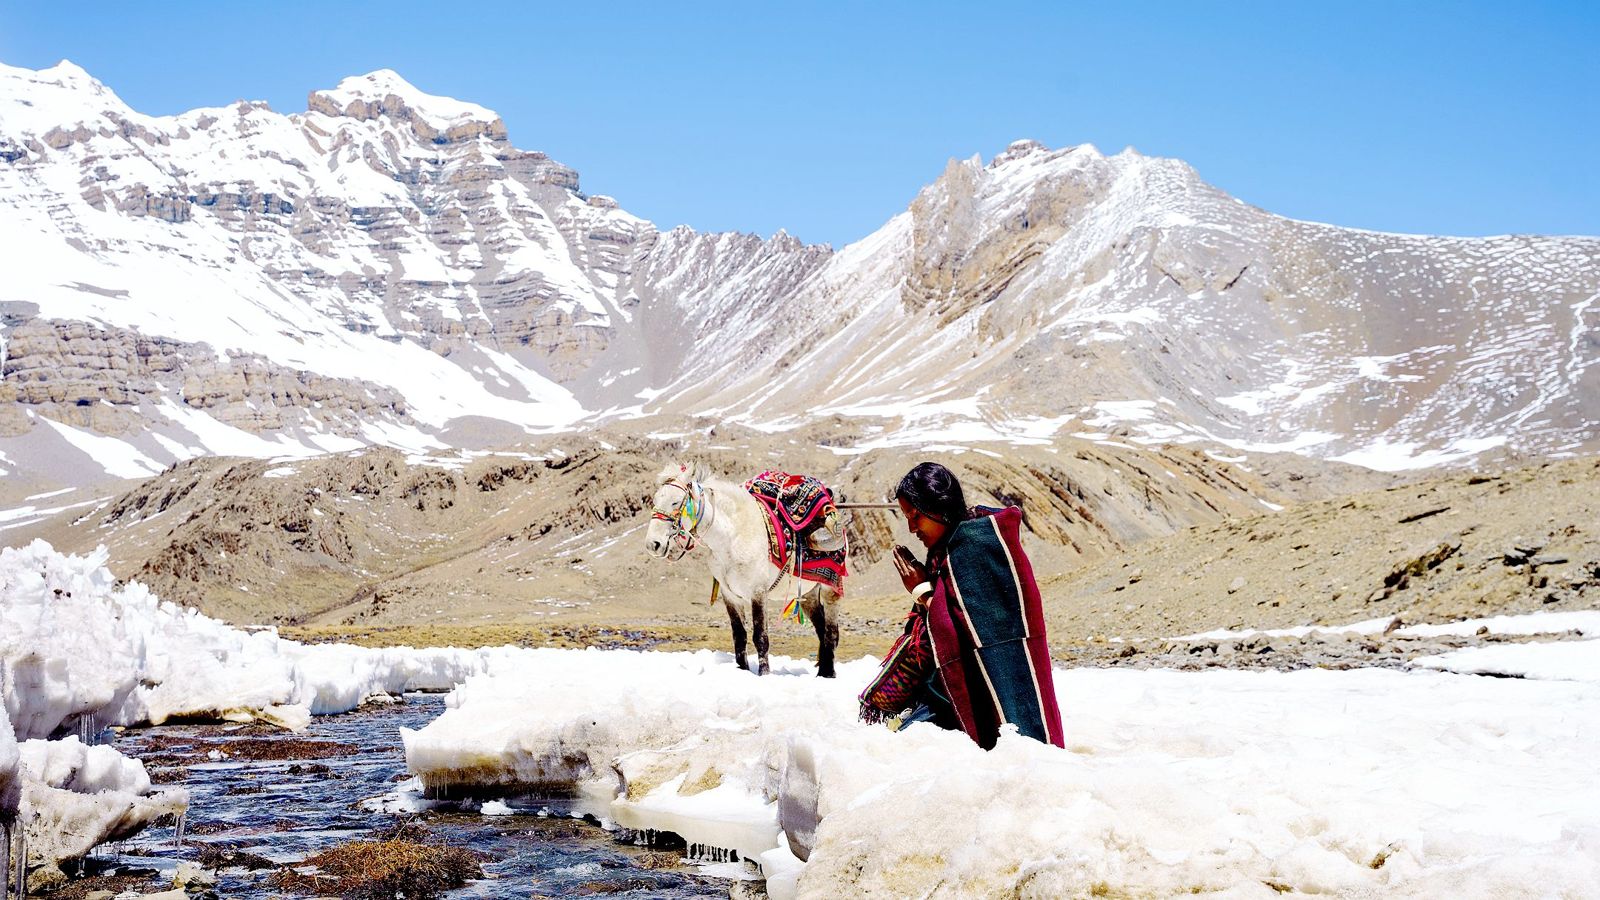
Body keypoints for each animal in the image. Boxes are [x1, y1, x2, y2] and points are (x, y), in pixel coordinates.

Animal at [643, 461, 844, 672]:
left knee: (831, 632)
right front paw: (743, 670)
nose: (652, 544)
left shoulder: (758, 592)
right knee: (821, 628)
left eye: (675, 502)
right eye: (655, 500)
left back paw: (828, 674)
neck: (733, 536)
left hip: (830, 588)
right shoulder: (730, 595)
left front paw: (764, 674)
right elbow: (739, 636)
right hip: (808, 592)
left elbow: (761, 637)